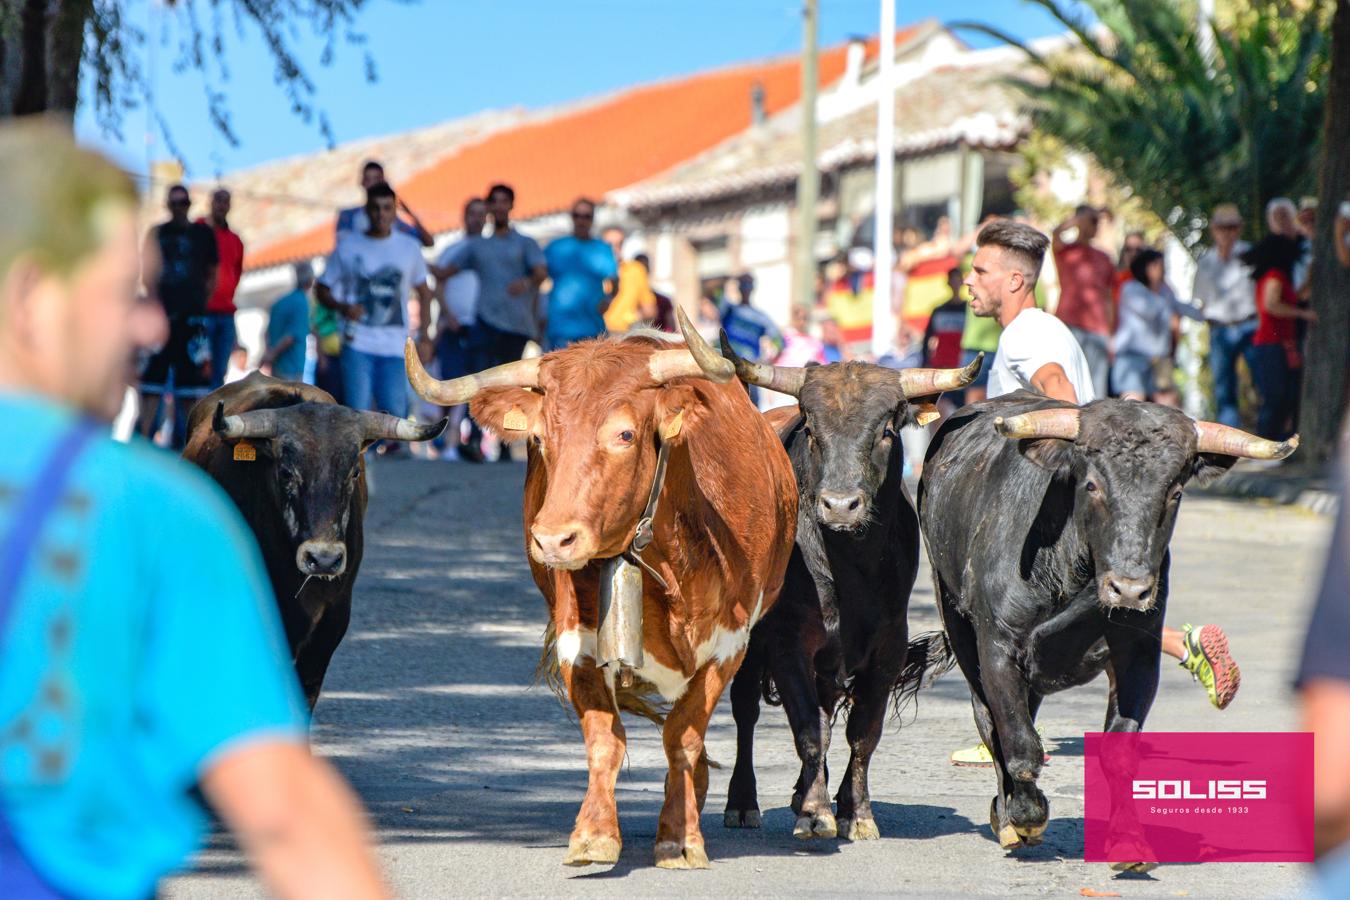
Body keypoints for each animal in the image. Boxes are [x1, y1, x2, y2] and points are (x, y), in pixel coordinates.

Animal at [405, 313, 793, 868]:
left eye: (625, 434)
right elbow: (605, 736)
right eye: (539, 438)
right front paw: (594, 833)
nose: (552, 538)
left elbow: (684, 733)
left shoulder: (730, 642)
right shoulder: (577, 637)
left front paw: (680, 837)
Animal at [912, 396, 1290, 863]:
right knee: (990, 722)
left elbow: (1120, 751)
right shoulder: (996, 646)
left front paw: (1128, 840)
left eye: (1175, 492)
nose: (1129, 588)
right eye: (1092, 486)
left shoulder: (1137, 655)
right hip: (956, 620)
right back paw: (1007, 816)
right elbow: (1019, 745)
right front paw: (1026, 816)